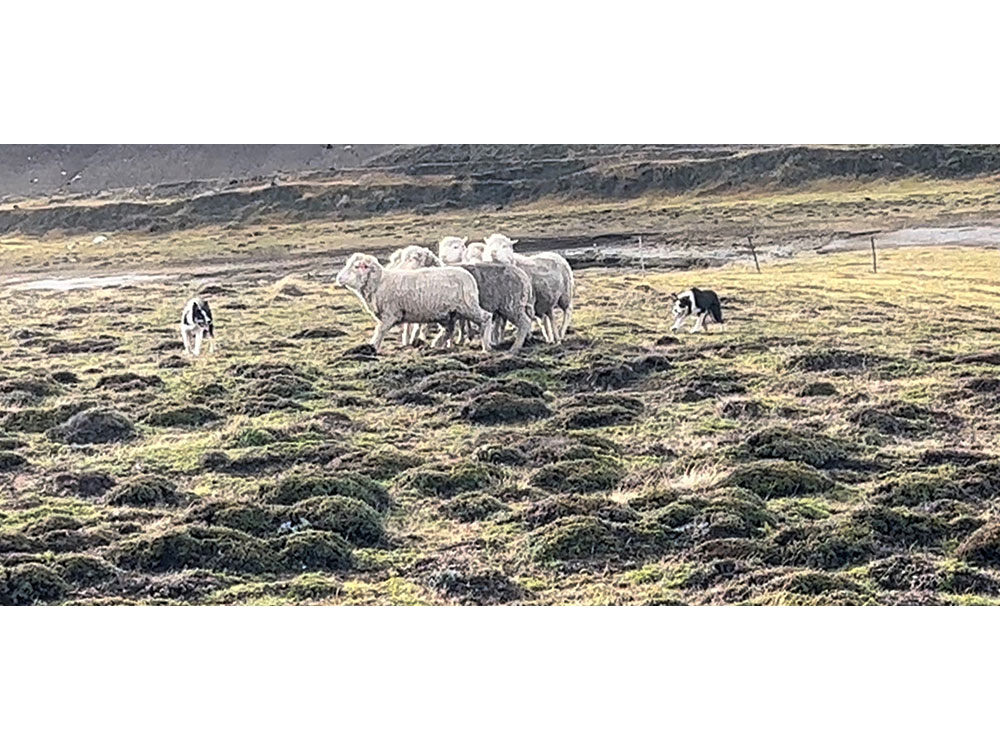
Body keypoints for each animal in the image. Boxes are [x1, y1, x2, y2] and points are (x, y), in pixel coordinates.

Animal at [334, 254, 494, 354]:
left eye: (357, 266)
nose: (339, 278)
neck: (379, 283)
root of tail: (469, 277)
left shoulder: (390, 315)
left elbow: (379, 332)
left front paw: (371, 348)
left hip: (467, 306)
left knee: (486, 317)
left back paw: (486, 346)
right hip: (449, 313)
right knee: (448, 330)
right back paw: (436, 345)